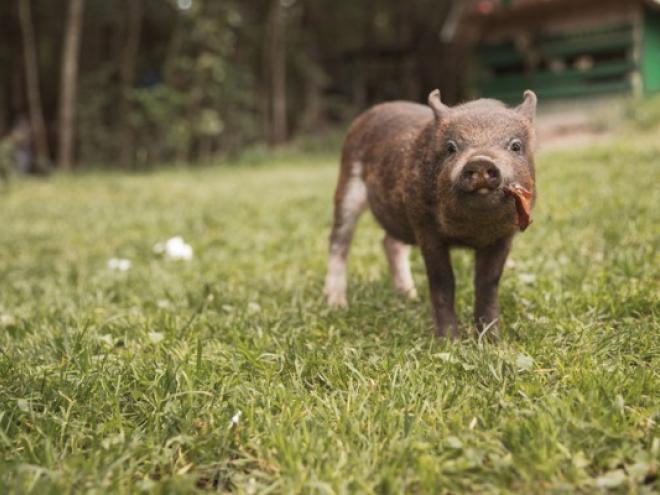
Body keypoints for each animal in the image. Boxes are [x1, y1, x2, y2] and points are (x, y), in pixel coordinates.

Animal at [323, 89, 537, 338]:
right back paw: (337, 304)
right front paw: (449, 340)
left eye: (515, 146)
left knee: (390, 243)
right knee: (339, 240)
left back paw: (410, 297)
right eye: (451, 147)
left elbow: (488, 283)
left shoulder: (504, 236)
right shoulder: (426, 228)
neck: (473, 232)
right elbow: (442, 282)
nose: (481, 160)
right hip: (348, 181)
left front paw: (492, 340)